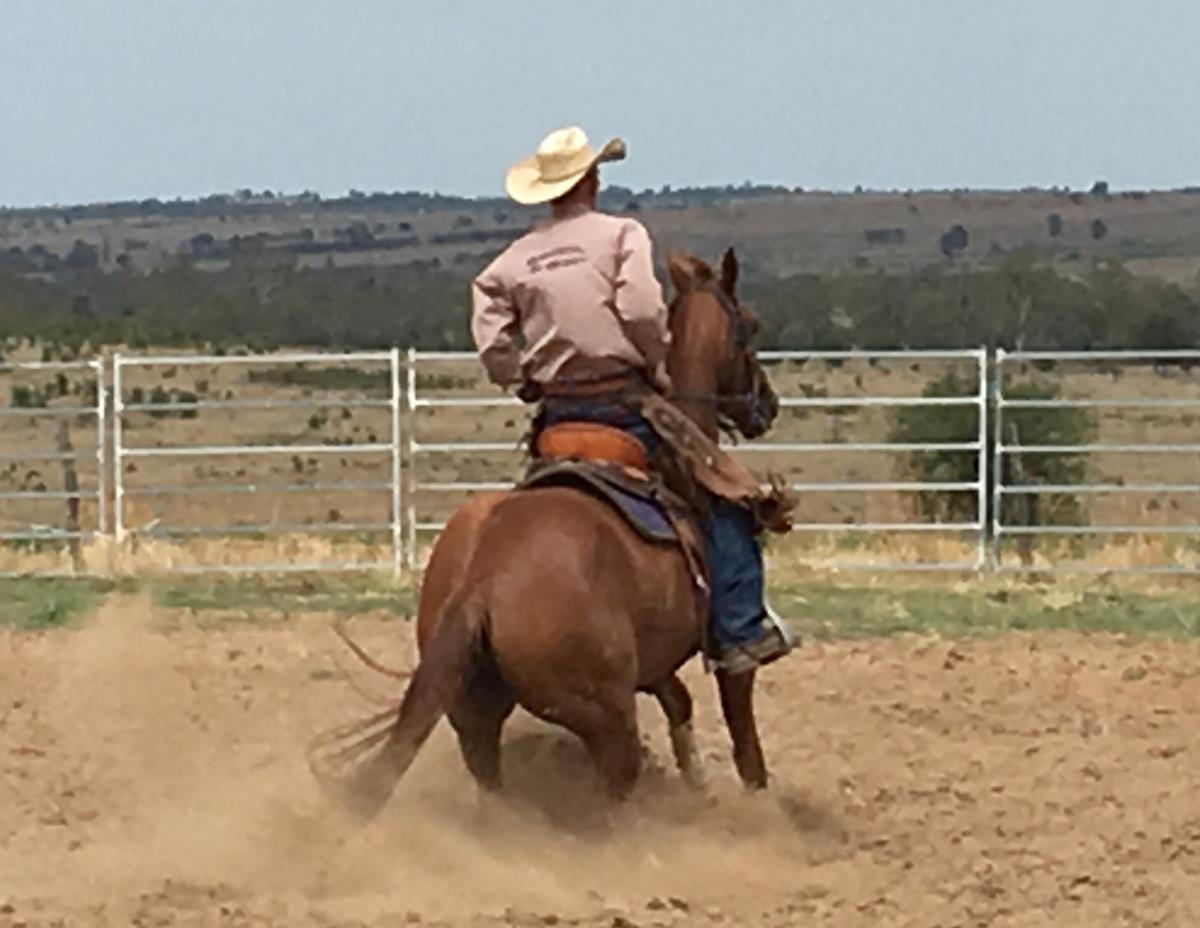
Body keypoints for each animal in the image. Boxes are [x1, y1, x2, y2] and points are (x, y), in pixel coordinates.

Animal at [318, 246, 782, 815]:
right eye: (750, 325)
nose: (768, 404)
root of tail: (485, 583)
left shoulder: (653, 662)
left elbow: (678, 699)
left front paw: (696, 780)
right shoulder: (722, 644)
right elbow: (740, 719)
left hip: (475, 713)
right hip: (604, 718)